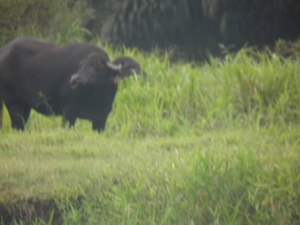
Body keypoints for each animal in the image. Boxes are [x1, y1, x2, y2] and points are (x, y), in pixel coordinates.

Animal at [0, 36, 142, 131]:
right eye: (81, 65)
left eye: (97, 66)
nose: (75, 79)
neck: (97, 97)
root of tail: (4, 51)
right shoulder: (68, 112)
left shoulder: (101, 119)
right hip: (12, 102)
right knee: (17, 125)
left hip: (25, 105)